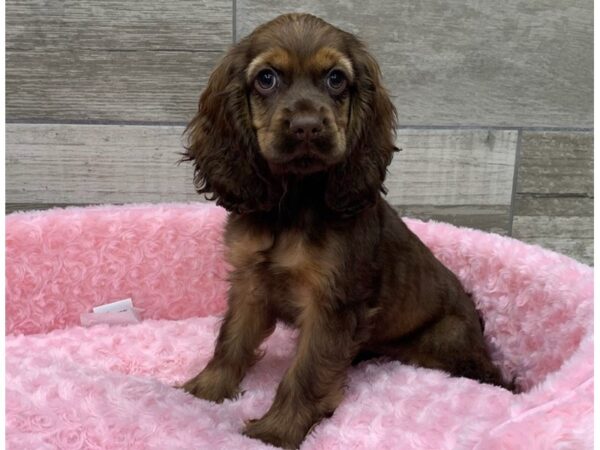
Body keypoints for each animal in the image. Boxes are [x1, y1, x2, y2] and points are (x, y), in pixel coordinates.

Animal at [180, 13, 512, 450]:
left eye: (336, 78)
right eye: (266, 78)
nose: (306, 127)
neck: (294, 202)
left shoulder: (333, 303)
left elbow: (306, 372)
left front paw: (276, 431)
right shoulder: (250, 281)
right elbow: (231, 340)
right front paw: (204, 390)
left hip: (449, 338)